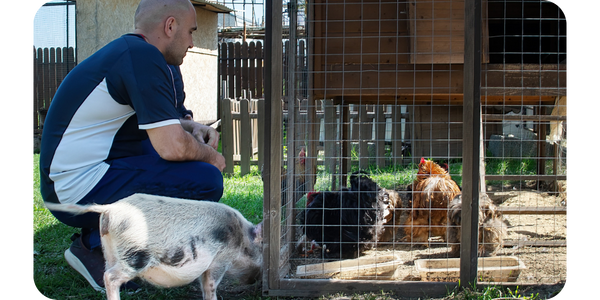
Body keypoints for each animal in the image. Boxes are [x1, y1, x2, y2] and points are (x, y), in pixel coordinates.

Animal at [45, 193, 262, 298]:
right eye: (261, 252)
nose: (255, 279)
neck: (241, 237)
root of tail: (110, 208)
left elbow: (203, 284)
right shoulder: (220, 259)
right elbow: (210, 285)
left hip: (110, 251)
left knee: (105, 272)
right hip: (134, 255)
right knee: (110, 277)